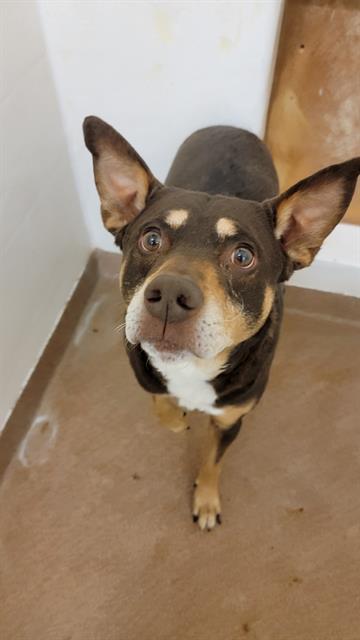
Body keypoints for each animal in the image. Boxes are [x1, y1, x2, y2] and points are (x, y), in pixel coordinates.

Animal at [82, 117, 360, 532]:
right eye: (151, 239)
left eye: (242, 256)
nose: (169, 295)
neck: (194, 367)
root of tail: (226, 125)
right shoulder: (142, 368)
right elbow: (161, 403)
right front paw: (178, 418)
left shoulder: (231, 419)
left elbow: (213, 461)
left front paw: (206, 500)